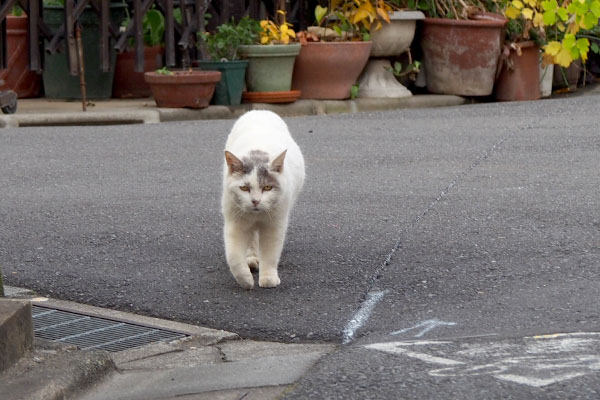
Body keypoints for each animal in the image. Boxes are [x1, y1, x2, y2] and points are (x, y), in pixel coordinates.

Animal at [221, 111, 304, 290]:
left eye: (267, 187)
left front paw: (268, 277)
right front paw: (245, 280)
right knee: (252, 239)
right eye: (244, 188)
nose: (255, 201)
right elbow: (233, 257)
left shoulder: (275, 225)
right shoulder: (235, 224)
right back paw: (251, 260)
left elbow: (270, 253)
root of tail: (259, 111)